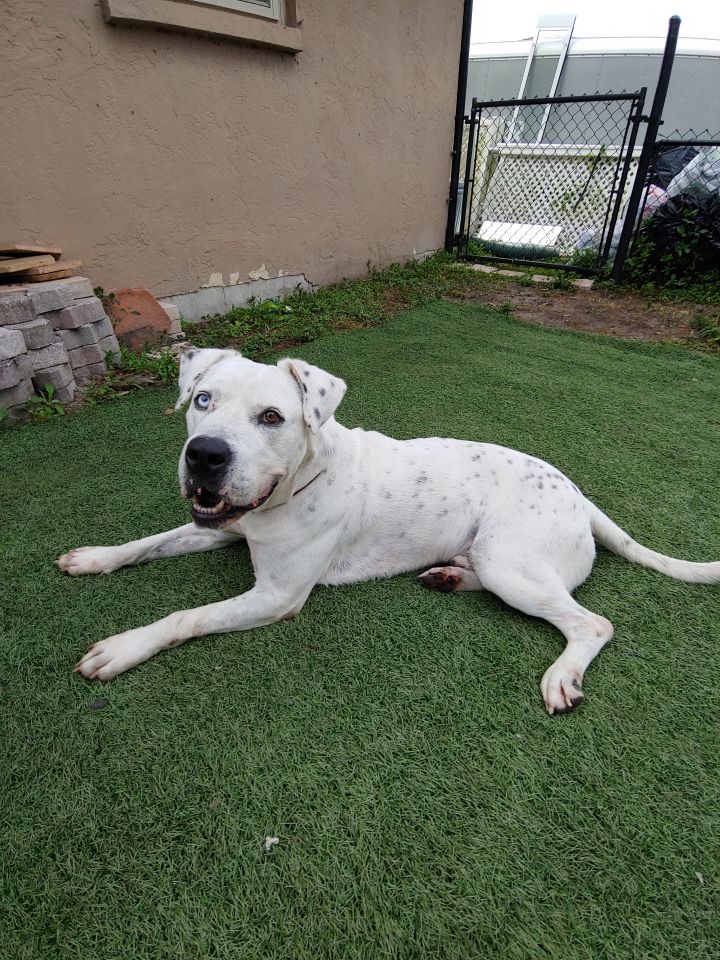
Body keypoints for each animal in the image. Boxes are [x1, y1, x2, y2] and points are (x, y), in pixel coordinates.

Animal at [57, 348, 720, 708]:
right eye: (202, 400)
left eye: (271, 417)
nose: (205, 455)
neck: (299, 482)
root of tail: (581, 496)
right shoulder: (221, 525)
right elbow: (149, 543)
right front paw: (96, 557)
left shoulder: (275, 596)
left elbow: (183, 618)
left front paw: (122, 648)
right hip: (500, 563)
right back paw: (447, 576)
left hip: (512, 563)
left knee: (590, 622)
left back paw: (563, 674)